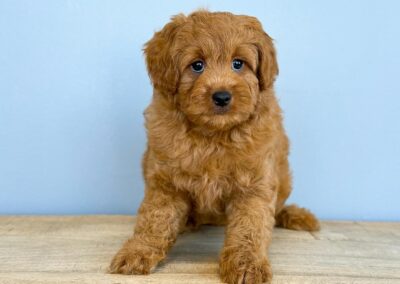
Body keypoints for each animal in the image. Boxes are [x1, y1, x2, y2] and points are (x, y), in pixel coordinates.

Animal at [109, 10, 318, 284]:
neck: (213, 135)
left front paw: (247, 264)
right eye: (197, 65)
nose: (221, 96)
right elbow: (154, 219)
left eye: (238, 64)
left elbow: (250, 227)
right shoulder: (165, 182)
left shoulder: (255, 185)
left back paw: (294, 215)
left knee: (278, 208)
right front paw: (137, 251)